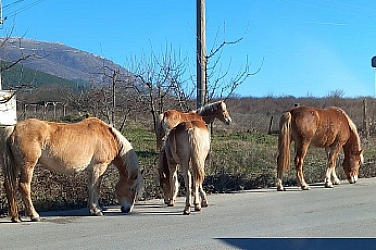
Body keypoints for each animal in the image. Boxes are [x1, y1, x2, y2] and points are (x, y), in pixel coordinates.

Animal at [0, 117, 142, 223]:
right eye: (132, 188)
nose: (127, 209)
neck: (108, 136)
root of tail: (14, 127)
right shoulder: (99, 167)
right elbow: (96, 188)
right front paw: (97, 210)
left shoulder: (91, 170)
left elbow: (90, 187)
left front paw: (91, 209)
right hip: (27, 166)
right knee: (24, 186)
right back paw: (34, 215)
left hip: (15, 166)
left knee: (9, 186)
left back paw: (16, 217)